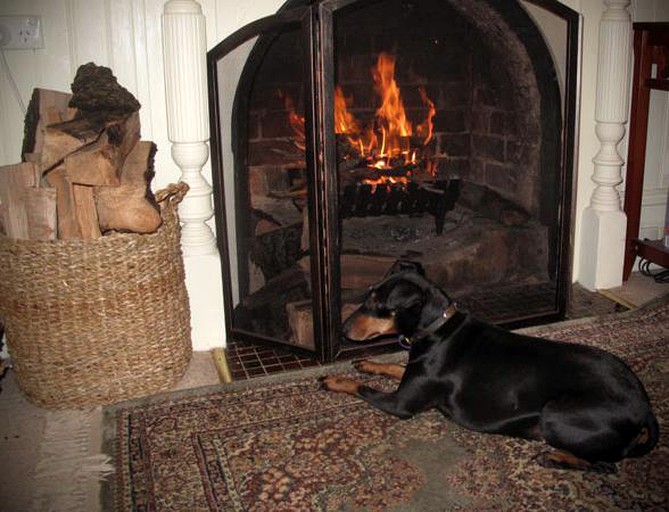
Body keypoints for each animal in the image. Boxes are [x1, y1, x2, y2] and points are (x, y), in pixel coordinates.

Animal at [322, 264, 656, 472]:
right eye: (368, 294)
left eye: (378, 304)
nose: (342, 329)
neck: (437, 327)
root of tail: (645, 410)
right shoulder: (411, 376)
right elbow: (393, 368)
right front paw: (366, 362)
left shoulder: (401, 403)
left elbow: (360, 387)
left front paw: (333, 380)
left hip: (556, 412)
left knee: (605, 465)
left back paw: (552, 457)